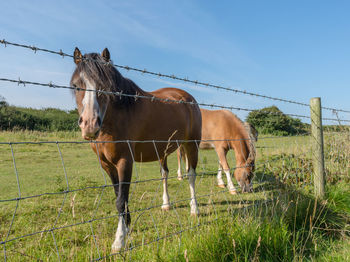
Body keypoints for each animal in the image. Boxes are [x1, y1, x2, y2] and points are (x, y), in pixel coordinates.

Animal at [71, 48, 201, 253]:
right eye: (76, 86)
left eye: (105, 86)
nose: (90, 125)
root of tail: (187, 98)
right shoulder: (107, 165)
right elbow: (119, 196)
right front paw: (126, 225)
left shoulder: (125, 161)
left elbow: (121, 200)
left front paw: (119, 241)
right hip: (163, 150)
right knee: (164, 174)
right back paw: (166, 204)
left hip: (191, 145)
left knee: (191, 175)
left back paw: (194, 209)